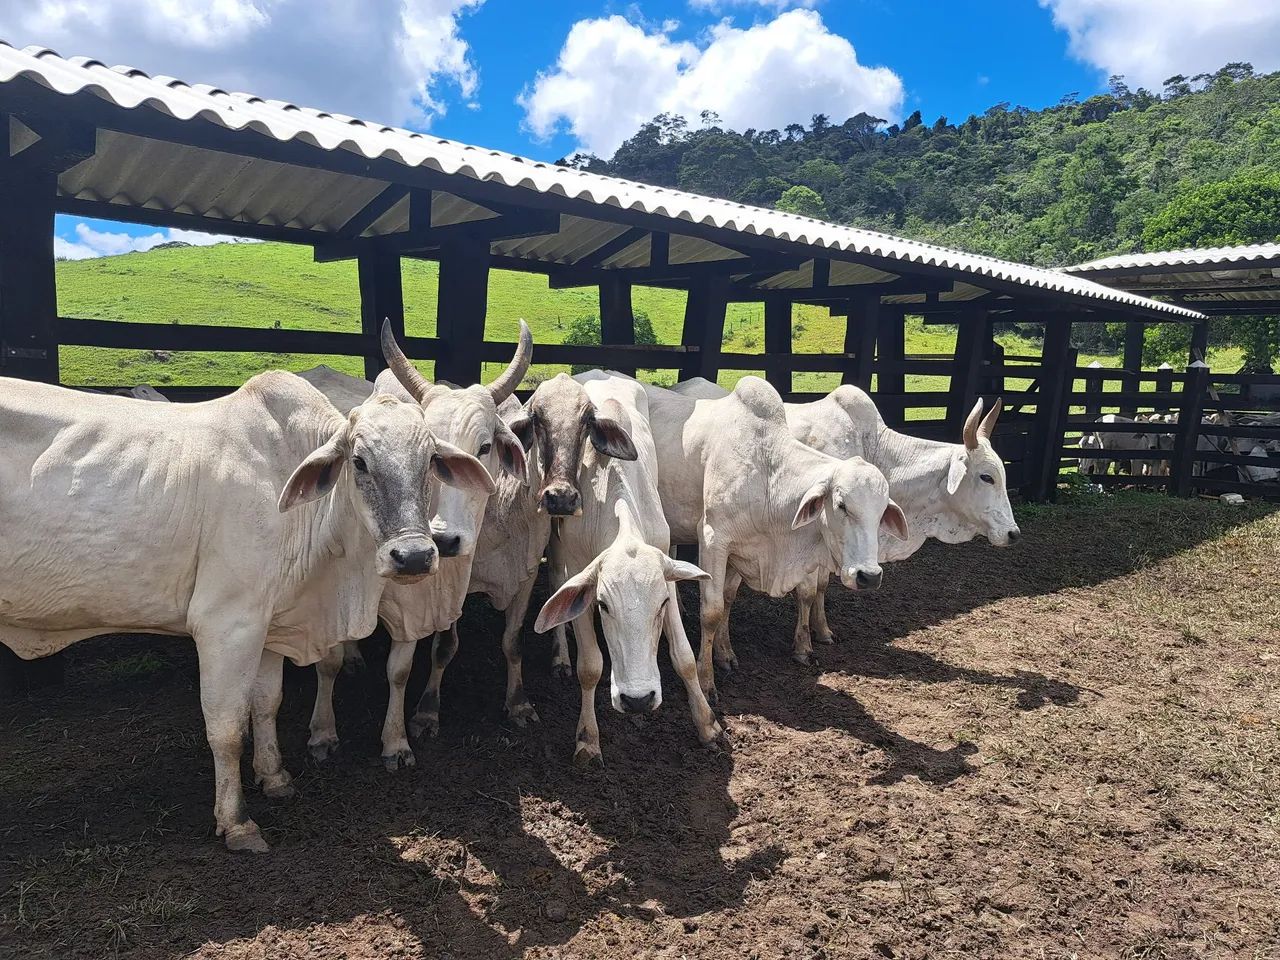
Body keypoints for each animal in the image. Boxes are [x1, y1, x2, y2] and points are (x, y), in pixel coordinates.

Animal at [0, 352, 493, 852]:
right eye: (358, 461)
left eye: (430, 460)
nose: (414, 556)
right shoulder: (226, 624)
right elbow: (226, 729)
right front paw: (236, 821)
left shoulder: (271, 622)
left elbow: (267, 702)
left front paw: (274, 776)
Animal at [298, 324, 531, 769]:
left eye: (485, 447)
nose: (441, 539)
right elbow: (327, 663)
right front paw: (322, 733)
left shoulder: (420, 603)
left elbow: (401, 671)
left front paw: (397, 740)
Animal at [532, 372, 721, 765]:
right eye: (603, 605)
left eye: (661, 604)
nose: (638, 700)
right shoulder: (579, 566)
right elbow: (590, 665)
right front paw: (588, 739)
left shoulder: (665, 563)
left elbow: (684, 657)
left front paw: (707, 724)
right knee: (555, 577)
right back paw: (560, 655)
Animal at [643, 376, 906, 701]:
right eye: (841, 504)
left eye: (882, 511)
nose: (869, 576)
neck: (767, 473)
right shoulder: (714, 540)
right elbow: (712, 612)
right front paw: (706, 681)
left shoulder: (740, 550)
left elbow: (729, 600)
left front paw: (725, 654)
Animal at [671, 380, 1016, 662]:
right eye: (987, 476)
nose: (1013, 533)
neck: (870, 444)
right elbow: (807, 591)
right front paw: (803, 646)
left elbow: (822, 586)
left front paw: (822, 632)